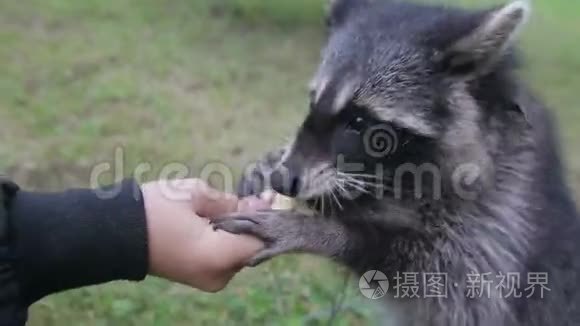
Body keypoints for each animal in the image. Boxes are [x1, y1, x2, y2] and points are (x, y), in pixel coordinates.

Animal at [212, 1, 580, 324]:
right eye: (312, 101)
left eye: (359, 122)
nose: (282, 180)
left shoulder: (500, 219)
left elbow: (435, 276)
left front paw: (322, 231)